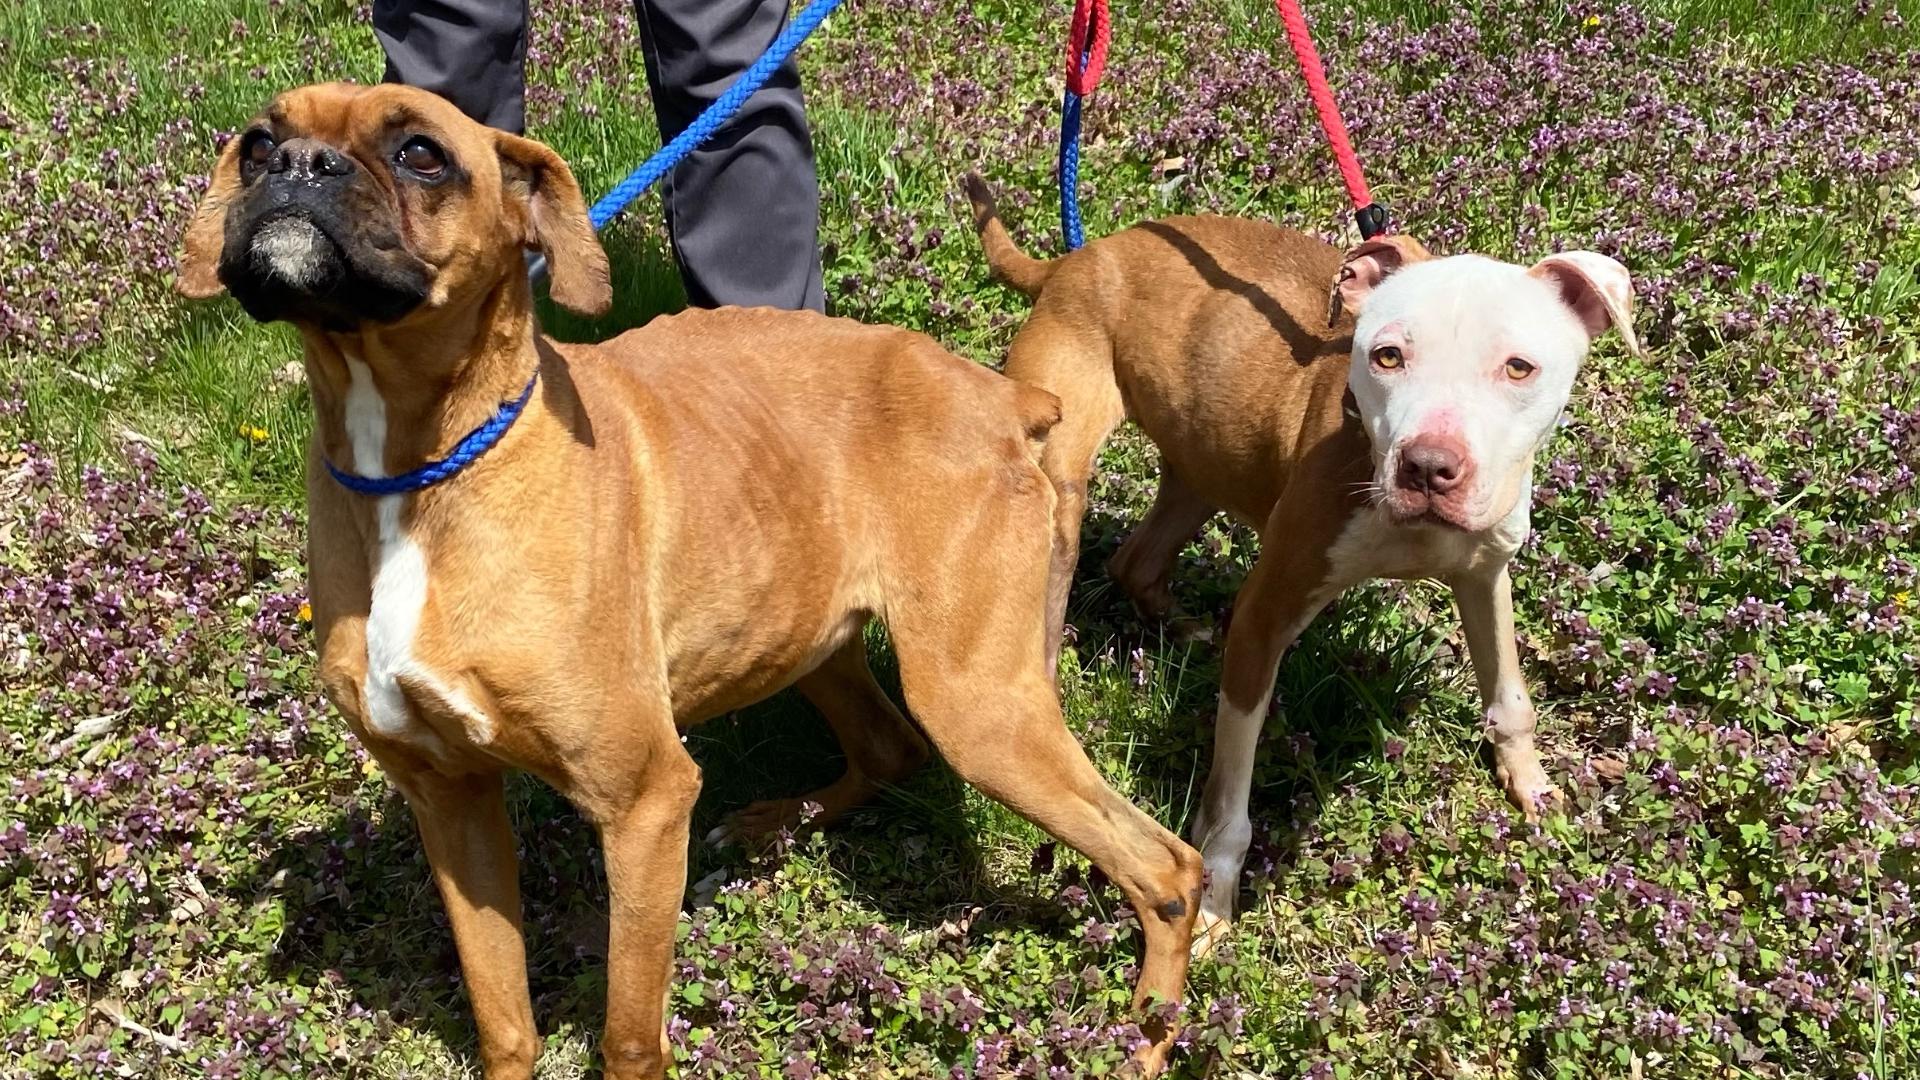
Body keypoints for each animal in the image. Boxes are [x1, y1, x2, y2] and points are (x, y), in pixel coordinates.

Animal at [180, 84, 1198, 1076]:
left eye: (420, 153)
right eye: (258, 141)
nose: (296, 164)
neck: (420, 474)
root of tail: (1001, 394)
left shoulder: (642, 804)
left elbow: (629, 1033)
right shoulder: (451, 800)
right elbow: (503, 1018)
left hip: (980, 708)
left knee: (1168, 871)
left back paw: (1142, 1040)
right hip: (812, 637)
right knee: (888, 747)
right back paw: (773, 826)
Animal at [967, 176, 1643, 949]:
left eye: (1519, 368)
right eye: (1387, 356)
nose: (1428, 466)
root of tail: (1078, 259)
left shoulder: (1483, 574)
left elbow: (1511, 696)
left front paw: (1532, 787)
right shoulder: (1267, 617)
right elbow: (1229, 800)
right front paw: (1214, 904)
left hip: (1204, 462)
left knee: (1136, 560)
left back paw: (1185, 630)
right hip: (1061, 488)